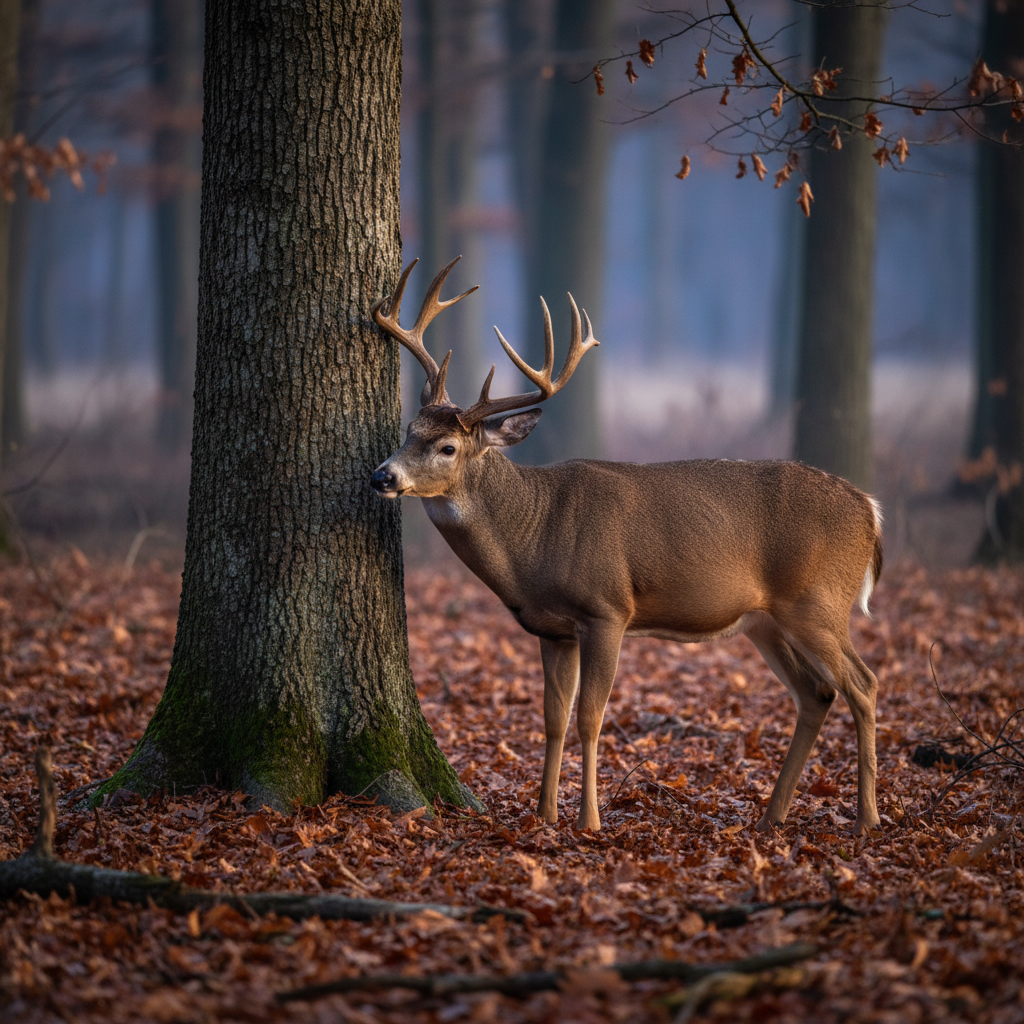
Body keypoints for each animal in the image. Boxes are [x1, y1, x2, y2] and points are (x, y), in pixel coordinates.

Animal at [370, 257, 884, 835]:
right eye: (408, 429)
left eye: (447, 447)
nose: (382, 476)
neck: (533, 540)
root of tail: (869, 509)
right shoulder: (552, 629)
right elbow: (553, 718)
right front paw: (545, 814)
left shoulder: (607, 609)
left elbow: (590, 718)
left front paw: (589, 820)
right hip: (766, 620)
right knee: (817, 693)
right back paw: (772, 817)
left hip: (817, 601)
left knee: (863, 684)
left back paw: (868, 818)